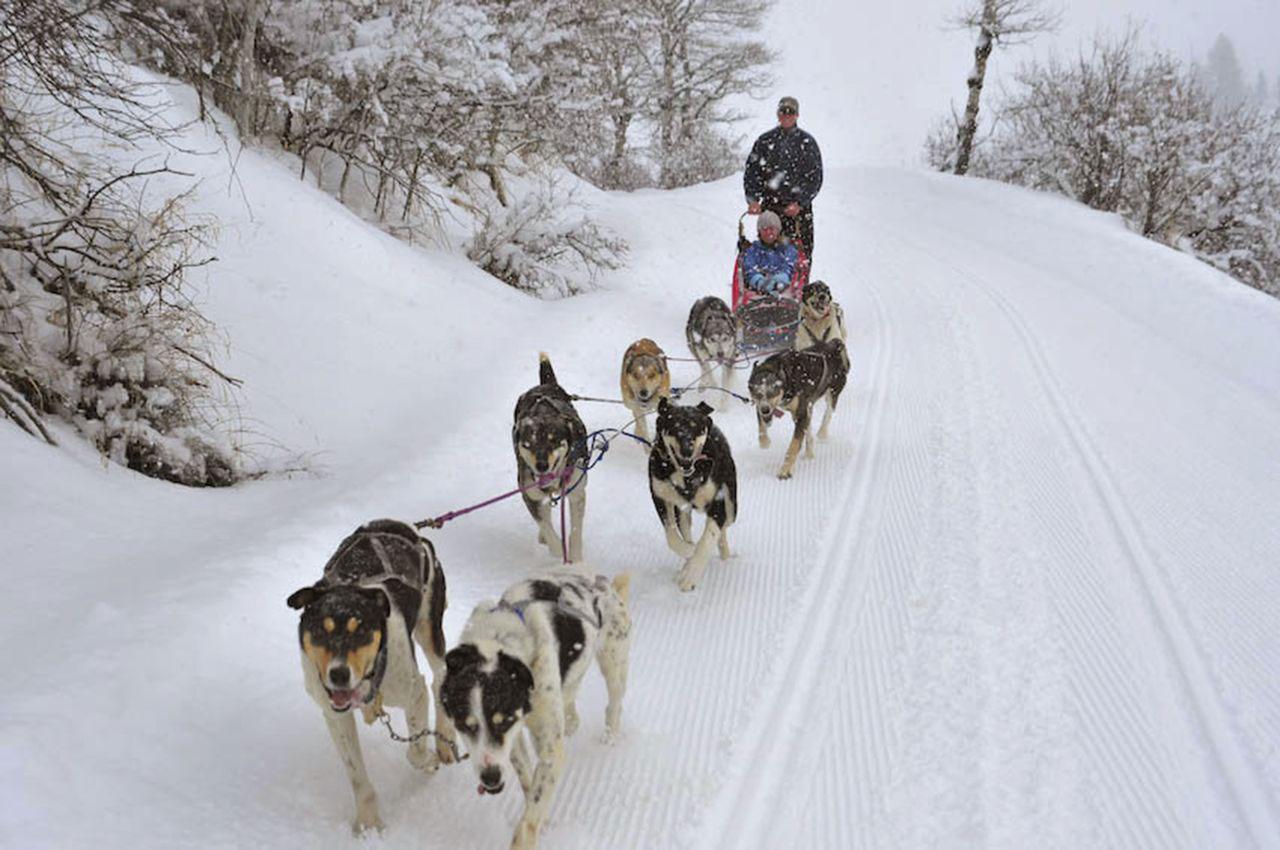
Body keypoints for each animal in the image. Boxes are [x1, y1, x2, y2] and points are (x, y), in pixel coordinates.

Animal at [288, 522, 458, 834]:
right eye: (319, 631)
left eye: (362, 630)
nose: (339, 674)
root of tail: (408, 527)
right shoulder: (336, 716)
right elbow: (357, 777)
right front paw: (368, 824)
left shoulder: (413, 693)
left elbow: (415, 752)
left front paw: (428, 760)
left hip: (430, 626)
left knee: (439, 677)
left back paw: (444, 742)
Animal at [442, 570, 632, 850]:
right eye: (464, 725)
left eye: (504, 721)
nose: (490, 777)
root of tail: (603, 584)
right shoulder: (514, 741)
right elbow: (528, 782)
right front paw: (543, 817)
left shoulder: (547, 747)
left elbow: (529, 817)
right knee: (571, 695)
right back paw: (572, 720)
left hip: (614, 662)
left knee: (614, 703)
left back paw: (610, 735)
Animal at [512, 353, 586, 563]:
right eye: (528, 444)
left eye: (554, 442)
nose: (542, 465)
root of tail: (545, 385)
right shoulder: (529, 494)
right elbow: (545, 524)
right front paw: (559, 553)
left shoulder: (577, 492)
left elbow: (576, 531)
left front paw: (575, 558)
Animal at [650, 396, 742, 591]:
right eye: (674, 426)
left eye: (696, 427)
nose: (687, 450)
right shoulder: (661, 497)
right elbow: (672, 536)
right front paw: (689, 554)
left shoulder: (718, 500)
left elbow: (708, 539)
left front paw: (691, 575)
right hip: (683, 511)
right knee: (686, 530)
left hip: (731, 505)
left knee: (724, 528)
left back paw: (723, 554)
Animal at [747, 340, 849, 483]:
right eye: (757, 393)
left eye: (773, 391)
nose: (765, 410)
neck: (787, 376)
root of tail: (833, 345)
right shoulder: (760, 406)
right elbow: (761, 427)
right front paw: (764, 442)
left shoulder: (800, 414)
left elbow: (794, 445)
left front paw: (785, 470)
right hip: (807, 408)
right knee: (809, 430)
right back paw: (809, 452)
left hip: (832, 393)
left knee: (828, 414)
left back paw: (822, 432)